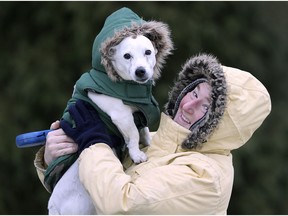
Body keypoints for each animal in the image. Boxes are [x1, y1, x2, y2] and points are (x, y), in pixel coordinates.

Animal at [48, 34, 159, 215]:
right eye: (126, 56)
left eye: (148, 52)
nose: (140, 71)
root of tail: (53, 206)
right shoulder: (122, 115)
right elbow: (134, 134)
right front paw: (137, 154)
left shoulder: (138, 114)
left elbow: (144, 130)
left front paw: (149, 141)